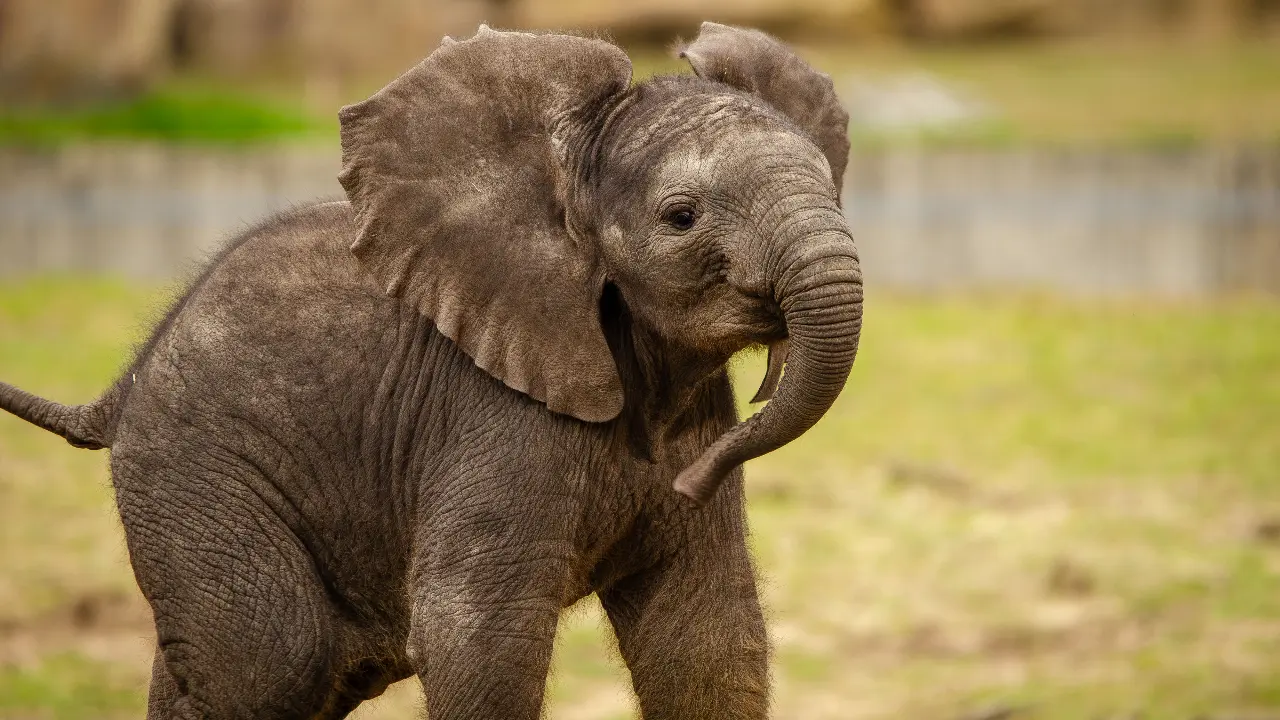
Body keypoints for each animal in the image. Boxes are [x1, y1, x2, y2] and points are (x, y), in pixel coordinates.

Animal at [0, 22, 862, 720]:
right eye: (681, 218)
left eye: (833, 187)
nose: (691, 481)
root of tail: (121, 390)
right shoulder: (489, 413)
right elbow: (477, 637)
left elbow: (707, 637)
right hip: (196, 474)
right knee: (273, 659)